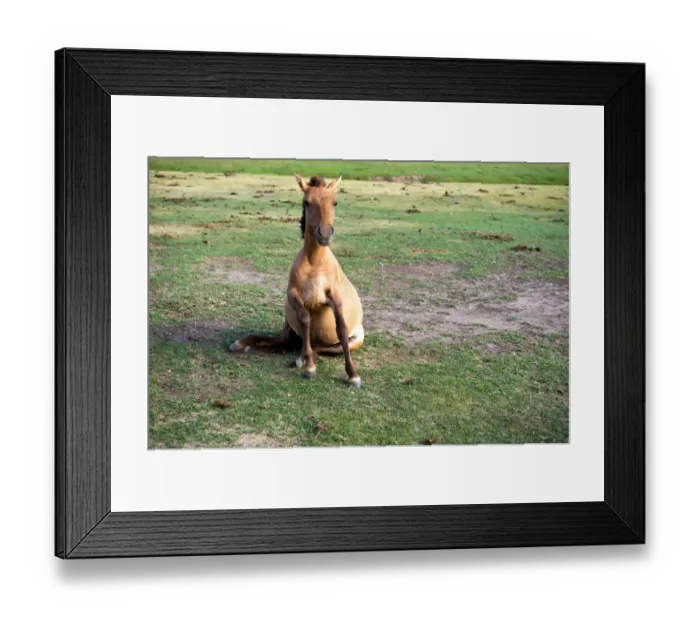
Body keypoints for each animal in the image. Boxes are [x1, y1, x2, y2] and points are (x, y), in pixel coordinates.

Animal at [229, 173, 364, 387]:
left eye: (334, 202)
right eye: (307, 202)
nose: (325, 234)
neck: (315, 264)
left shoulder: (334, 298)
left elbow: (341, 328)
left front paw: (353, 375)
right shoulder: (293, 295)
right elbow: (305, 317)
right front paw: (309, 368)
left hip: (352, 341)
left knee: (319, 348)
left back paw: (301, 358)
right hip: (289, 329)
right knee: (282, 341)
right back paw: (242, 344)